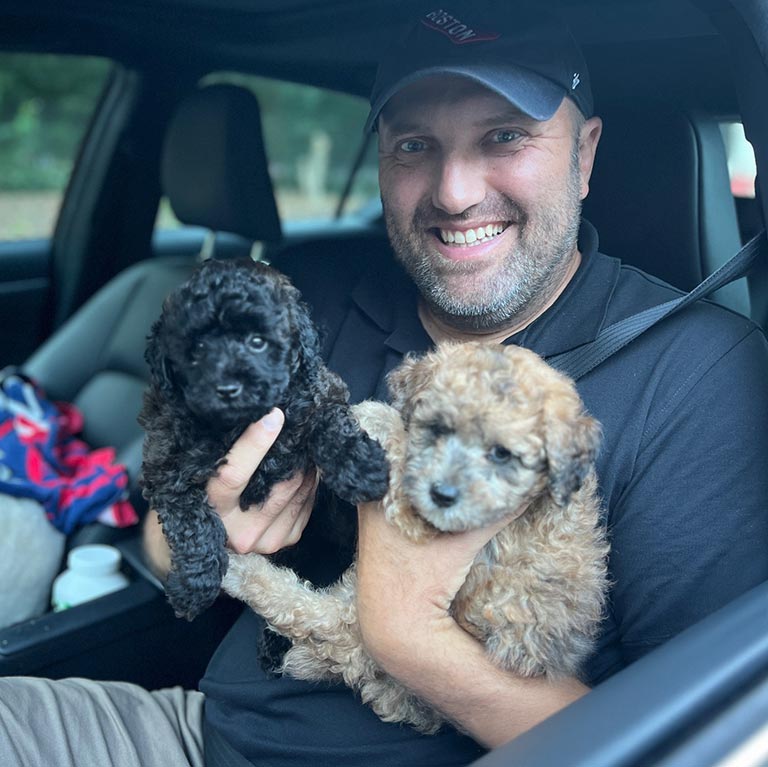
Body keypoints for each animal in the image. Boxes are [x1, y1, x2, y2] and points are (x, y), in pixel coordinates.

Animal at [139, 260, 390, 620]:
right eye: (197, 348)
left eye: (258, 341)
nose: (228, 389)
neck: (240, 421)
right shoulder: (165, 466)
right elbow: (194, 526)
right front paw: (193, 587)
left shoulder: (319, 393)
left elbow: (330, 423)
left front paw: (362, 468)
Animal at [220, 344, 608, 736]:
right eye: (437, 428)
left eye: (502, 454)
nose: (442, 494)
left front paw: (371, 413)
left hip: (353, 624)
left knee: (306, 612)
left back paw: (241, 572)